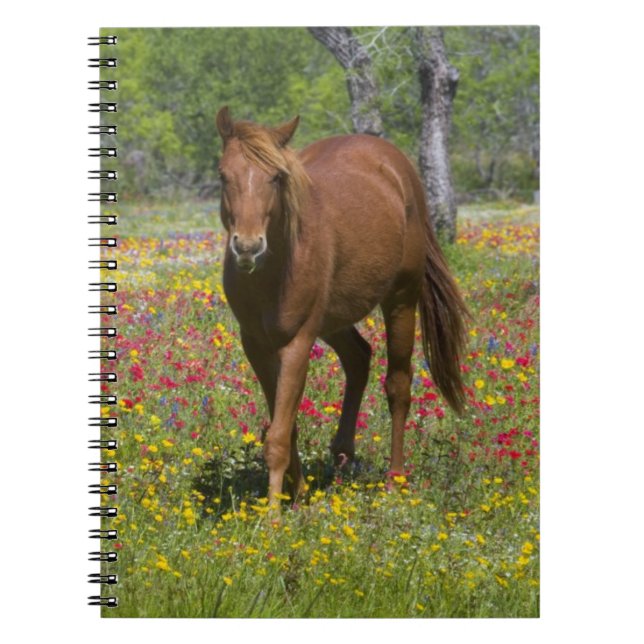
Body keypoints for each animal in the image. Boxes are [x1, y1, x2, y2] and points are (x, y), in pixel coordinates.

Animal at [215, 106, 468, 510]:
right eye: (224, 175)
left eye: (276, 177)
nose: (248, 247)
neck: (273, 271)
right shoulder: (255, 346)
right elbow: (286, 426)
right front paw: (297, 493)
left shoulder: (297, 344)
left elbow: (278, 437)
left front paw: (273, 516)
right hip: (333, 321)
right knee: (359, 358)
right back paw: (342, 452)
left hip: (401, 300)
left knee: (398, 385)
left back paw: (394, 481)